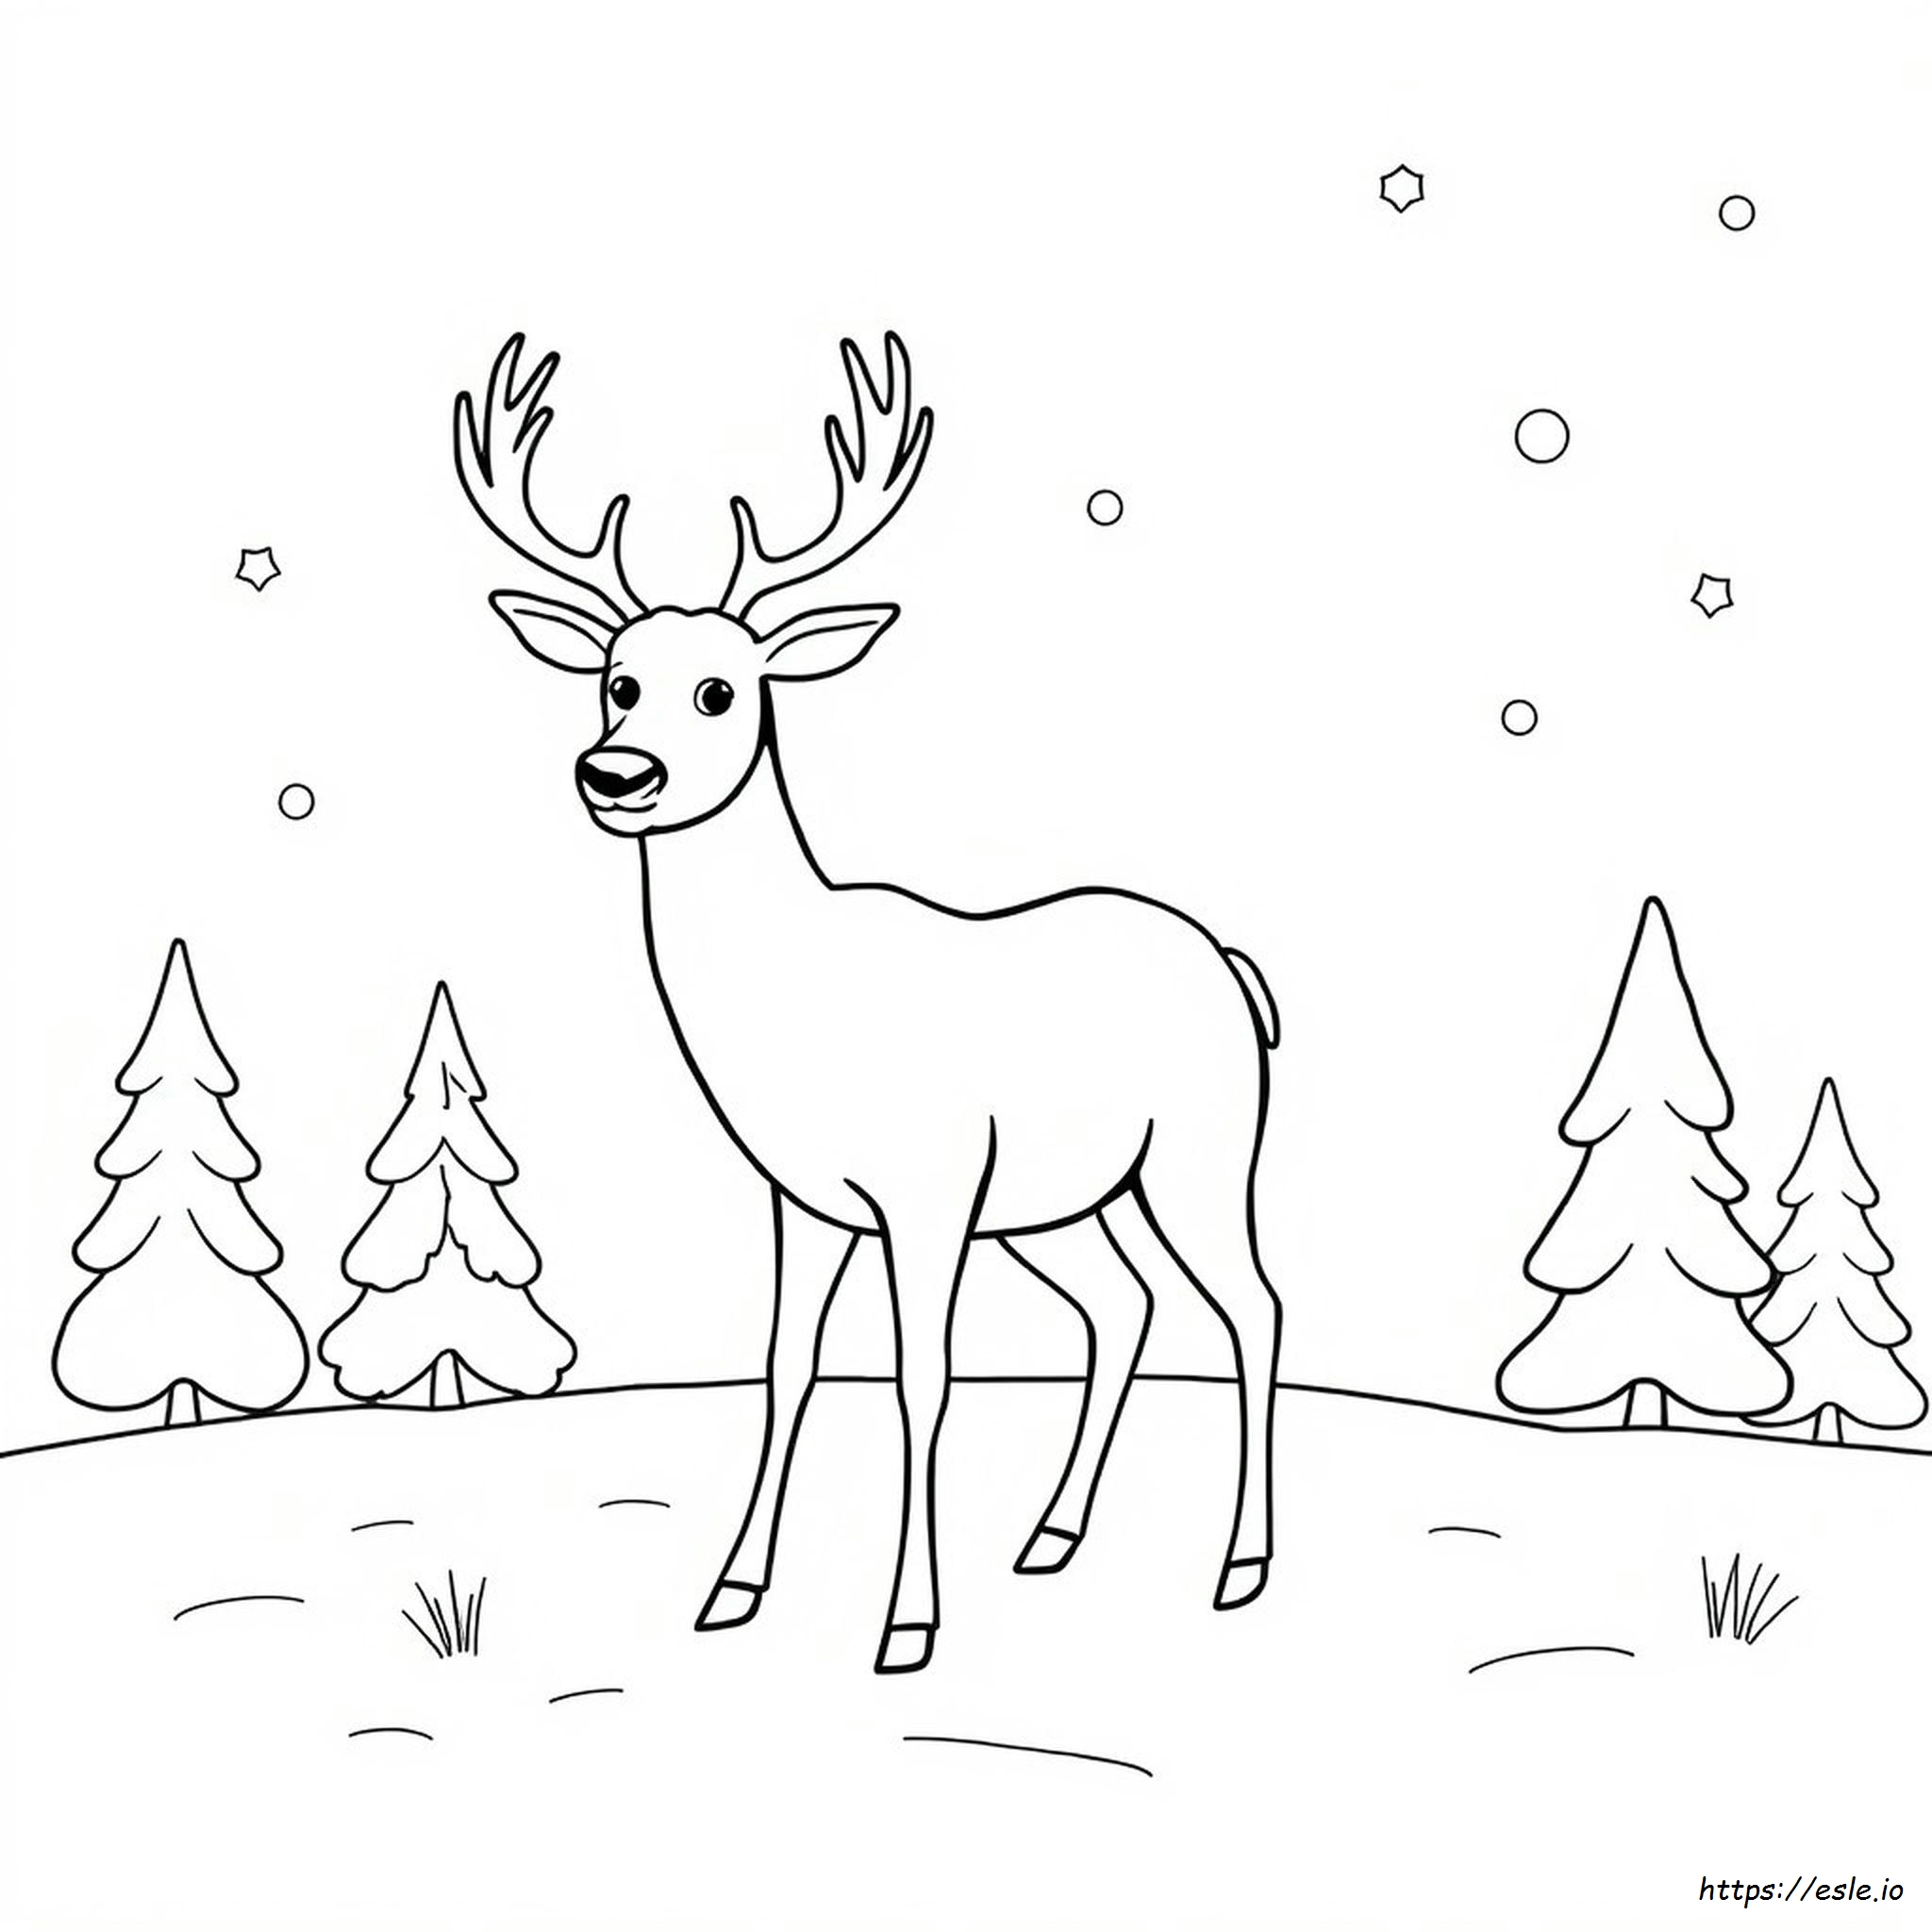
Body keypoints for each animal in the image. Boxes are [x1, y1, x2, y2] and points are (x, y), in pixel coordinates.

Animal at [454, 333, 1284, 1673]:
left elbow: (920, 1378)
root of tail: (1236, 969)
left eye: (722, 691)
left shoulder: (927, 1188)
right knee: (1126, 1307)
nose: (613, 774)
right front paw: (731, 1587)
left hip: (1203, 1150)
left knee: (1251, 1306)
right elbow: (785, 1366)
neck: (797, 1005)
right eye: (617, 681)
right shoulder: (803, 1195)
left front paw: (906, 1621)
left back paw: (1240, 1564)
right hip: (1068, 1198)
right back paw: (1049, 1534)